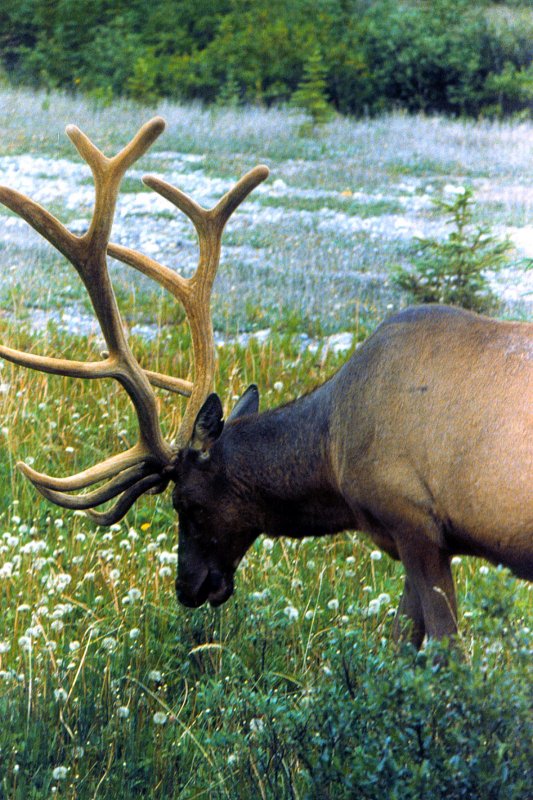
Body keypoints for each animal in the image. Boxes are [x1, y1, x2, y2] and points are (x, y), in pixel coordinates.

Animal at [0, 115, 528, 648]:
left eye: (184, 503)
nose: (187, 586)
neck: (332, 449)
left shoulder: (414, 519)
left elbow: (440, 648)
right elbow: (400, 640)